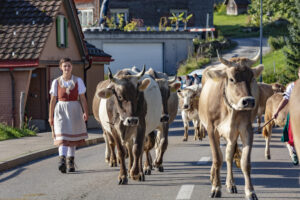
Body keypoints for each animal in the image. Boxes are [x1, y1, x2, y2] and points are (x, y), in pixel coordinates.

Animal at [198, 52, 264, 200]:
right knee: (219, 156)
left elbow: (245, 162)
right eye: (232, 79)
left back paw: (230, 184)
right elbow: (217, 158)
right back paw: (213, 177)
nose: (248, 101)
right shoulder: (211, 129)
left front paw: (250, 191)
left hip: (232, 135)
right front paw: (216, 188)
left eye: (252, 78)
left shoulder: (246, 129)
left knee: (228, 156)